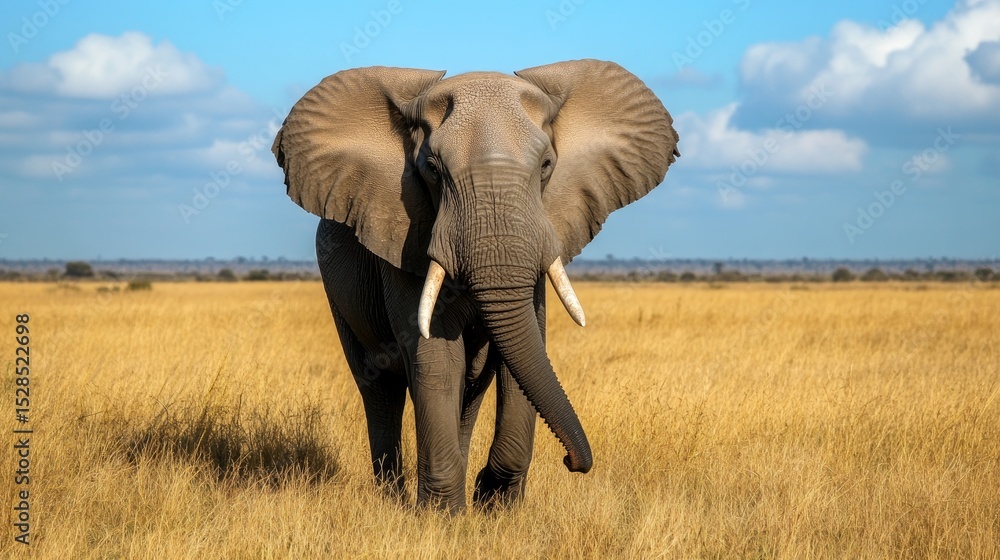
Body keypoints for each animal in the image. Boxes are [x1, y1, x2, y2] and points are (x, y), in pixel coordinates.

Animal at [272, 59, 679, 512]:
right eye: (432, 169)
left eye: (546, 165)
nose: (573, 462)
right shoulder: (404, 237)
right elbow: (437, 358)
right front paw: (441, 516)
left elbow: (524, 350)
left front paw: (494, 503)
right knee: (380, 387)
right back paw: (394, 500)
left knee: (470, 389)